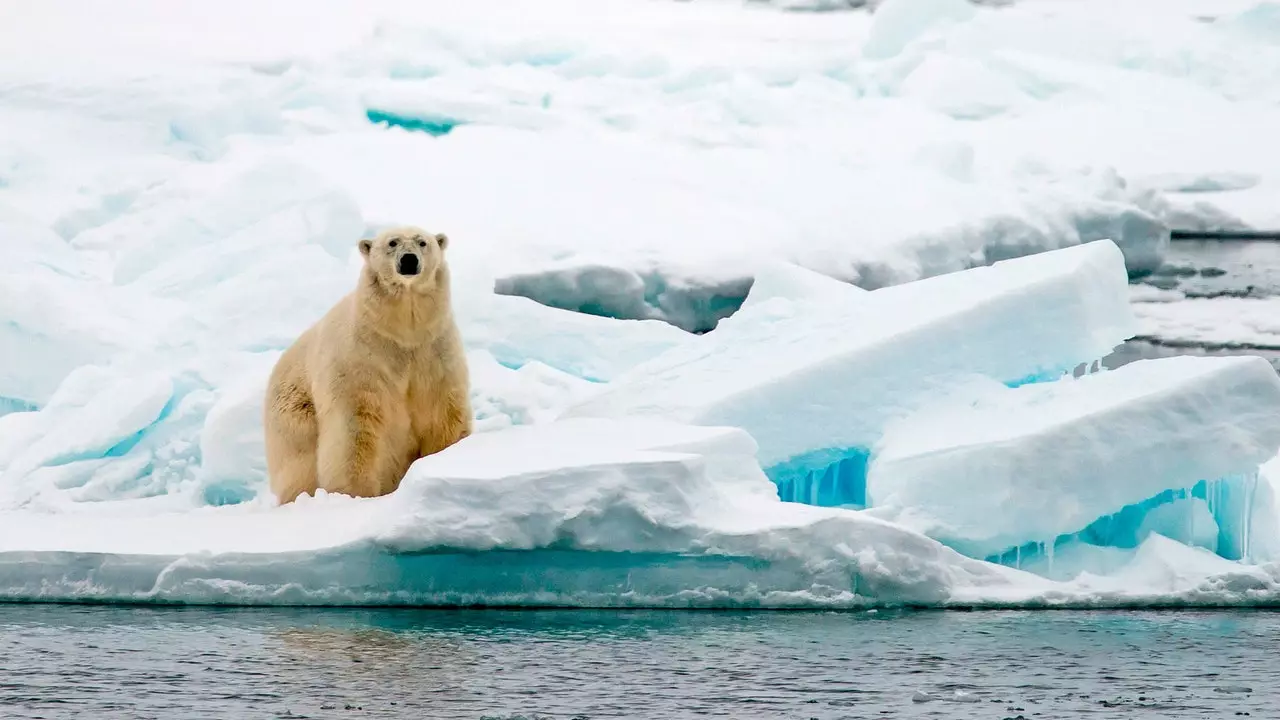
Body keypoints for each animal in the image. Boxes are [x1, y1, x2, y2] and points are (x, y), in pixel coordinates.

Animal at [262, 226, 473, 502]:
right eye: (392, 242)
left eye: (422, 242)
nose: (408, 260)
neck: (402, 333)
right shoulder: (361, 359)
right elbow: (355, 427)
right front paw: (355, 493)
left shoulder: (434, 353)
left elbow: (441, 413)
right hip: (295, 412)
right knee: (300, 463)